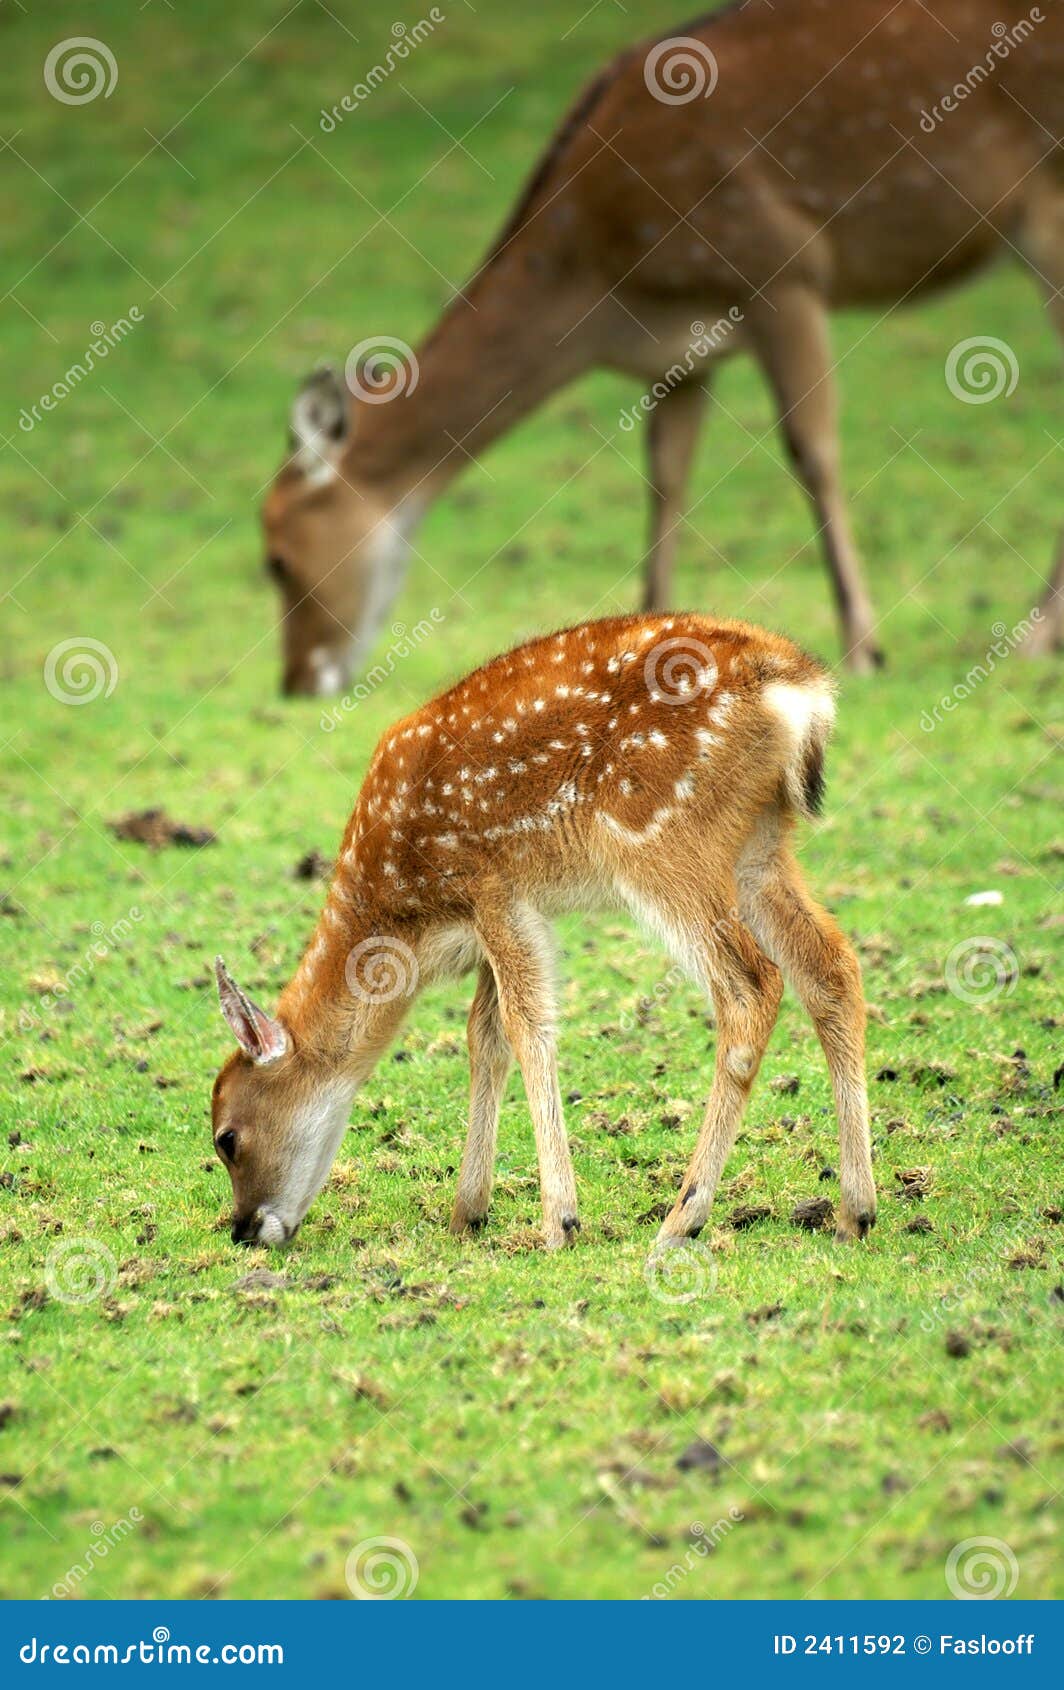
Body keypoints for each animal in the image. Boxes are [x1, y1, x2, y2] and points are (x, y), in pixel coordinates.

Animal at [208, 615, 878, 1250]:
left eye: (227, 1139)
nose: (244, 1228)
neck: (409, 920)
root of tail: (803, 694)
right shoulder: (500, 915)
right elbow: (484, 1038)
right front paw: (467, 1213)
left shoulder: (493, 885)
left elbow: (526, 1028)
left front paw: (559, 1221)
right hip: (760, 844)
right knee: (831, 965)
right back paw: (855, 1212)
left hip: (664, 836)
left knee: (751, 984)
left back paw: (682, 1218)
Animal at [260, 0, 1064, 692]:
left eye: (275, 558)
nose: (296, 681)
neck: (603, 280)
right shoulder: (682, 351)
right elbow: (666, 475)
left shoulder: (781, 266)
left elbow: (812, 451)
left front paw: (865, 648)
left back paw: (1032, 638)